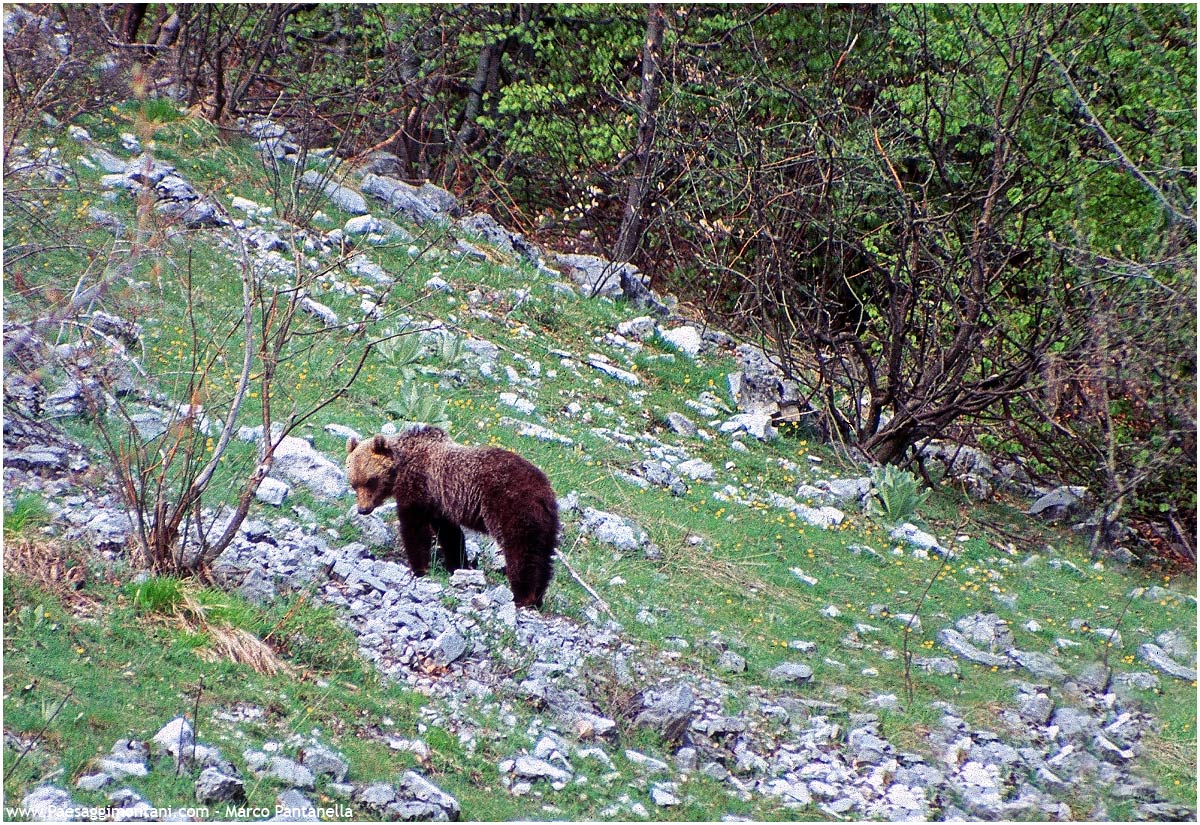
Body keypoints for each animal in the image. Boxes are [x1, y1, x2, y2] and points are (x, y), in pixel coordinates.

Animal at [346, 426, 558, 609]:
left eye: (370, 480)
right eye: (353, 483)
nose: (363, 509)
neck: (401, 465)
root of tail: (543, 490)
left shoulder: (419, 487)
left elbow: (415, 528)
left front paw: (418, 568)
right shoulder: (440, 501)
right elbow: (450, 534)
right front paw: (458, 565)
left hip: (509, 507)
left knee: (520, 551)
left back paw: (523, 596)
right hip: (546, 523)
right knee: (543, 556)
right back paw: (538, 596)